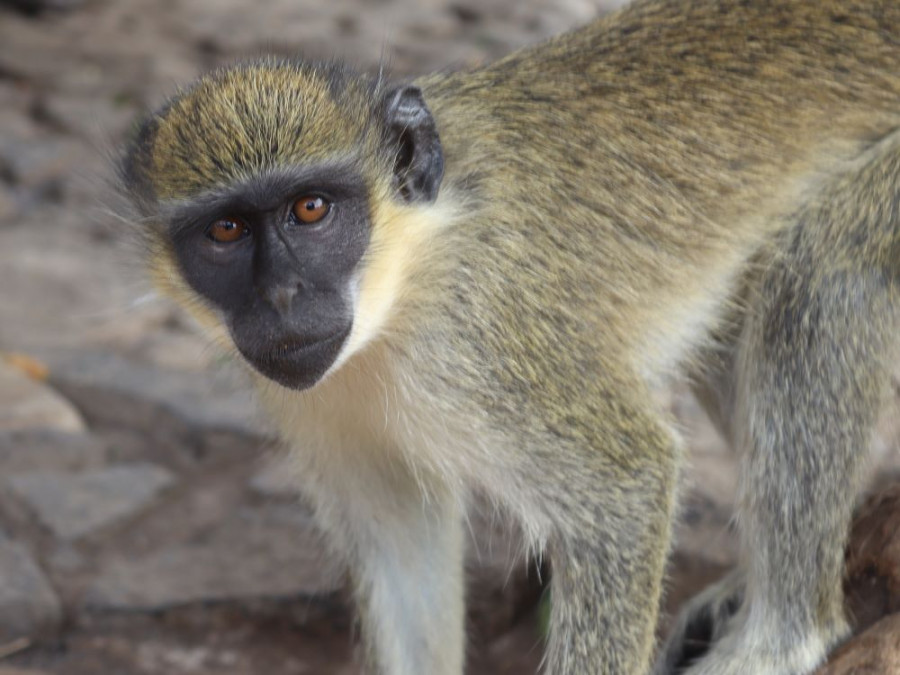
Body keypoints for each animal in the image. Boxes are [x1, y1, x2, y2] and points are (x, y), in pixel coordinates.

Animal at [118, 0, 900, 673]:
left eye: (312, 209)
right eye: (225, 231)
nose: (281, 297)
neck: (404, 278)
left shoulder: (484, 340)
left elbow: (627, 485)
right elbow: (402, 551)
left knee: (822, 271)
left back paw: (782, 636)